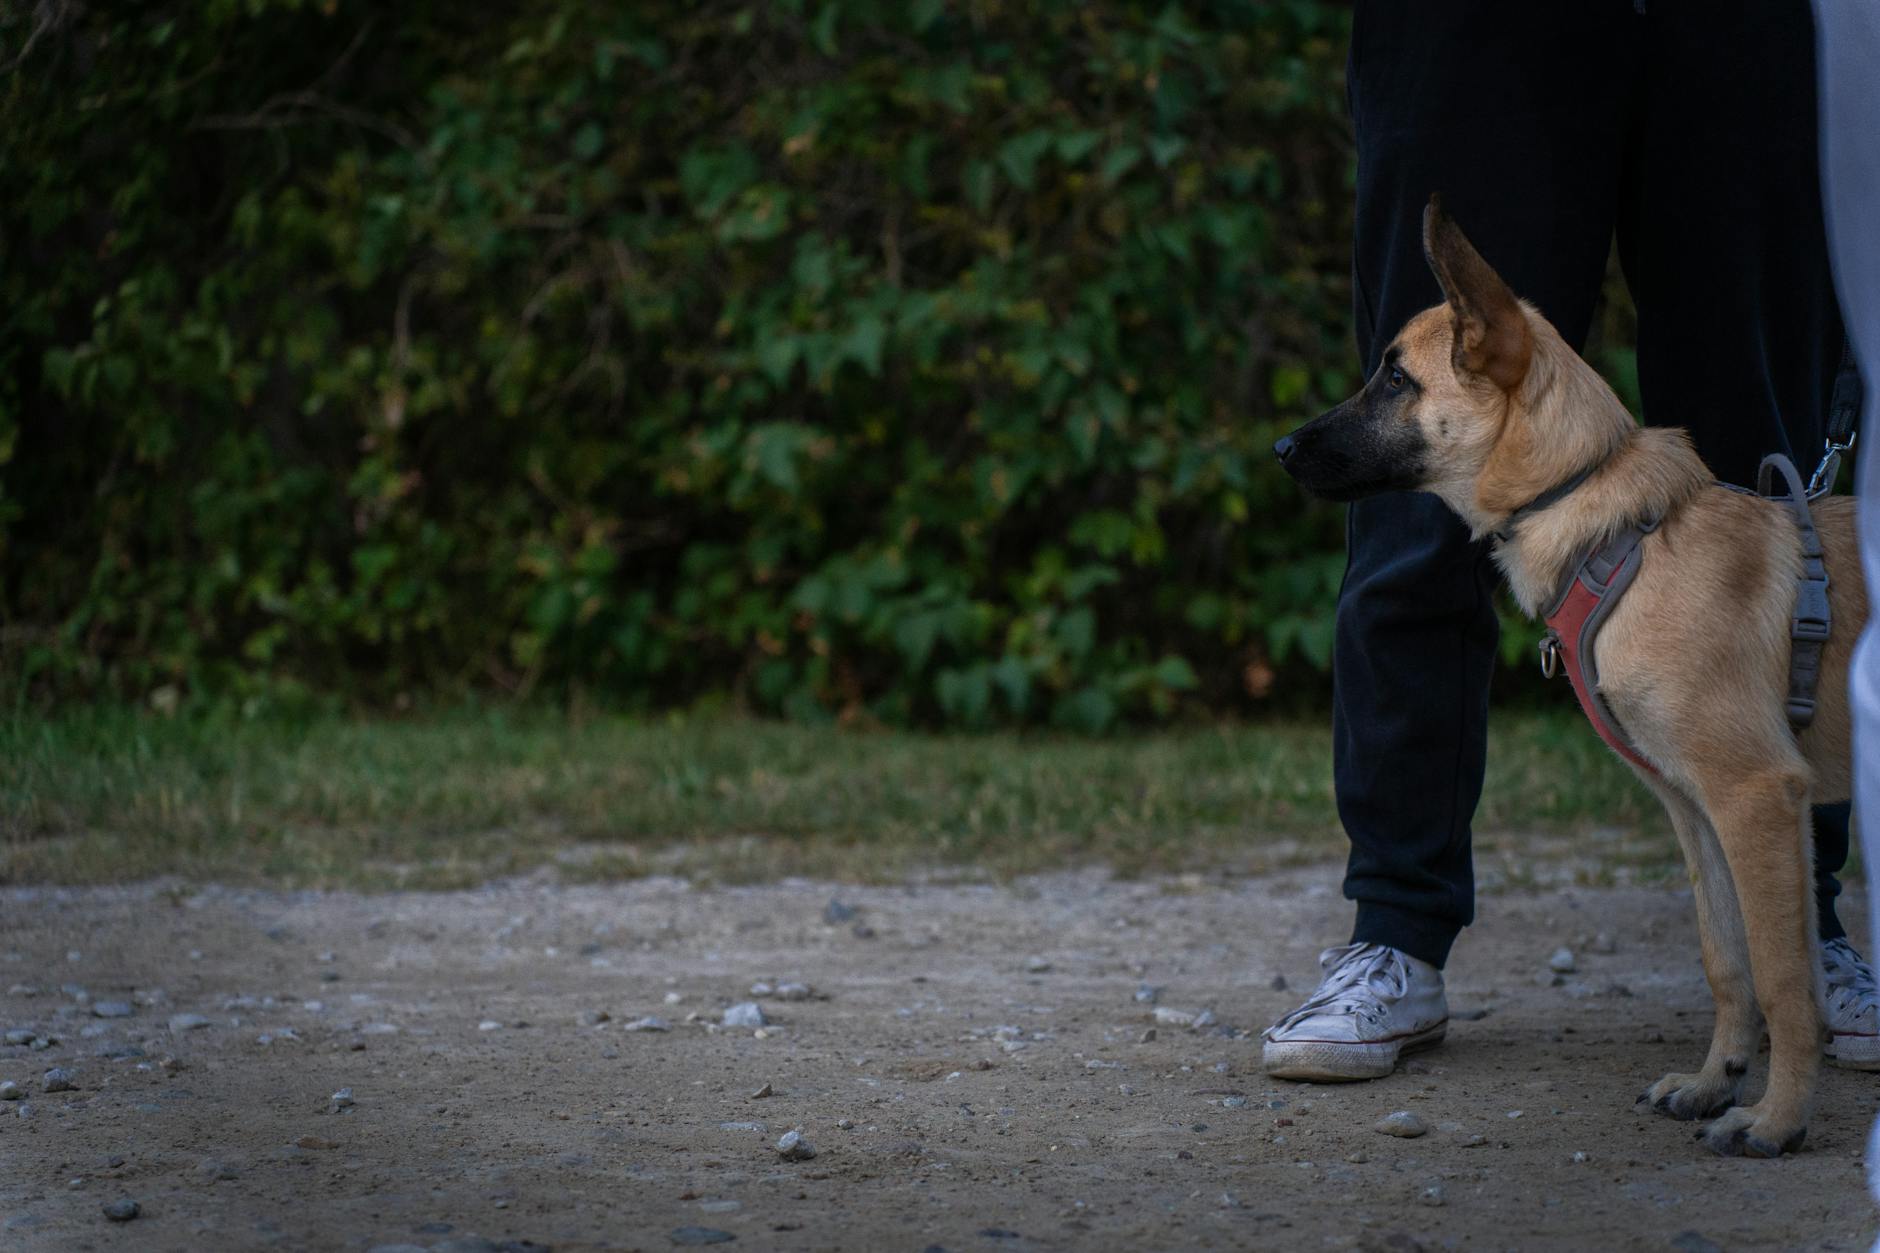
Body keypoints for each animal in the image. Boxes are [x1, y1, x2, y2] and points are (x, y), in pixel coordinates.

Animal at [1278, 200, 1864, 1158]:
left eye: (1396, 379)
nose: (1282, 446)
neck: (1612, 533)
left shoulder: (1754, 797)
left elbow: (1782, 976)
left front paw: (1776, 1120)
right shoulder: (1697, 811)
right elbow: (1728, 959)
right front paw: (1715, 1080)